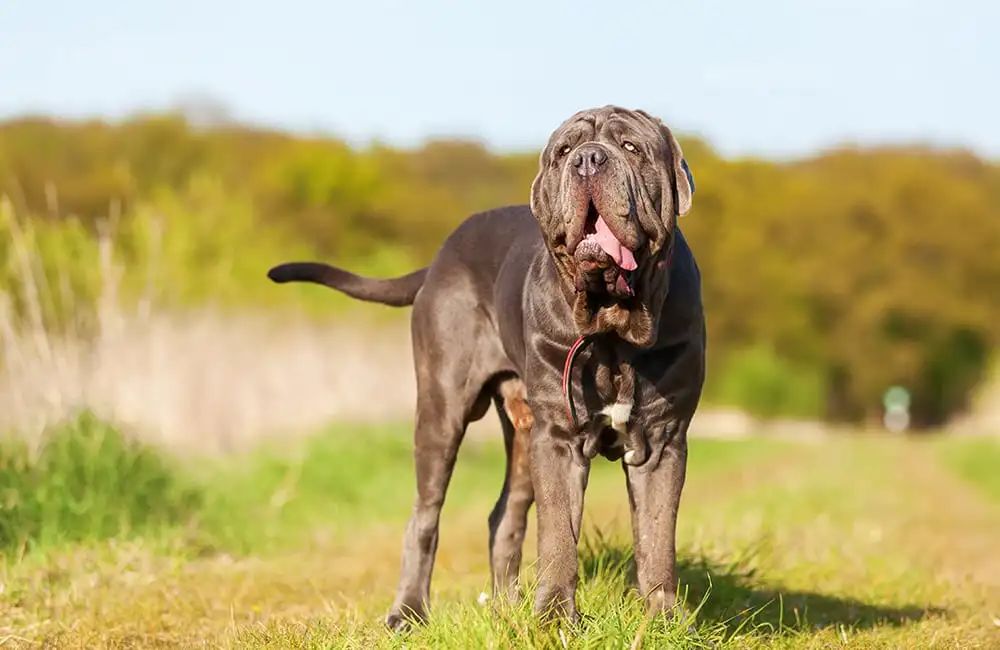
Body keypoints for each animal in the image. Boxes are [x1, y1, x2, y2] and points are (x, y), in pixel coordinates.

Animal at [266, 106, 704, 628]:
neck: (613, 327)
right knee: (425, 513)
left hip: (523, 434)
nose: (588, 160)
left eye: (631, 147)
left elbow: (657, 539)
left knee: (505, 515)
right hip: (443, 410)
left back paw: (506, 607)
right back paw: (408, 612)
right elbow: (558, 536)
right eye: (564, 151)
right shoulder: (558, 440)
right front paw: (555, 619)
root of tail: (439, 258)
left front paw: (661, 620)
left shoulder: (662, 441)